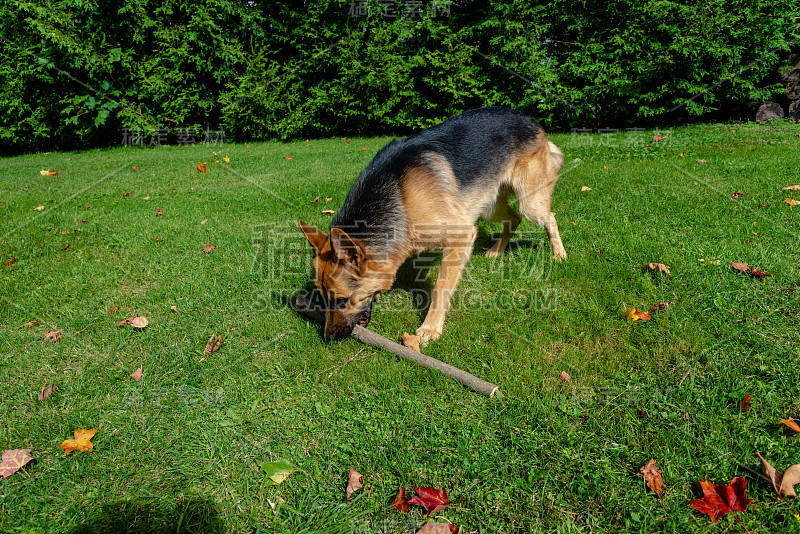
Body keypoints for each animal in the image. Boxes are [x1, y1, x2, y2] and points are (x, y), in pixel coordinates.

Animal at [296, 107, 564, 346]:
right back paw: (497, 251)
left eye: (342, 300)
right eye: (322, 298)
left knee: (549, 216)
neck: (400, 197)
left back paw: (559, 254)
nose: (328, 339)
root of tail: (529, 119)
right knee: (514, 219)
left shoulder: (461, 236)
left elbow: (440, 288)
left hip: (529, 203)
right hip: (489, 206)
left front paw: (430, 328)